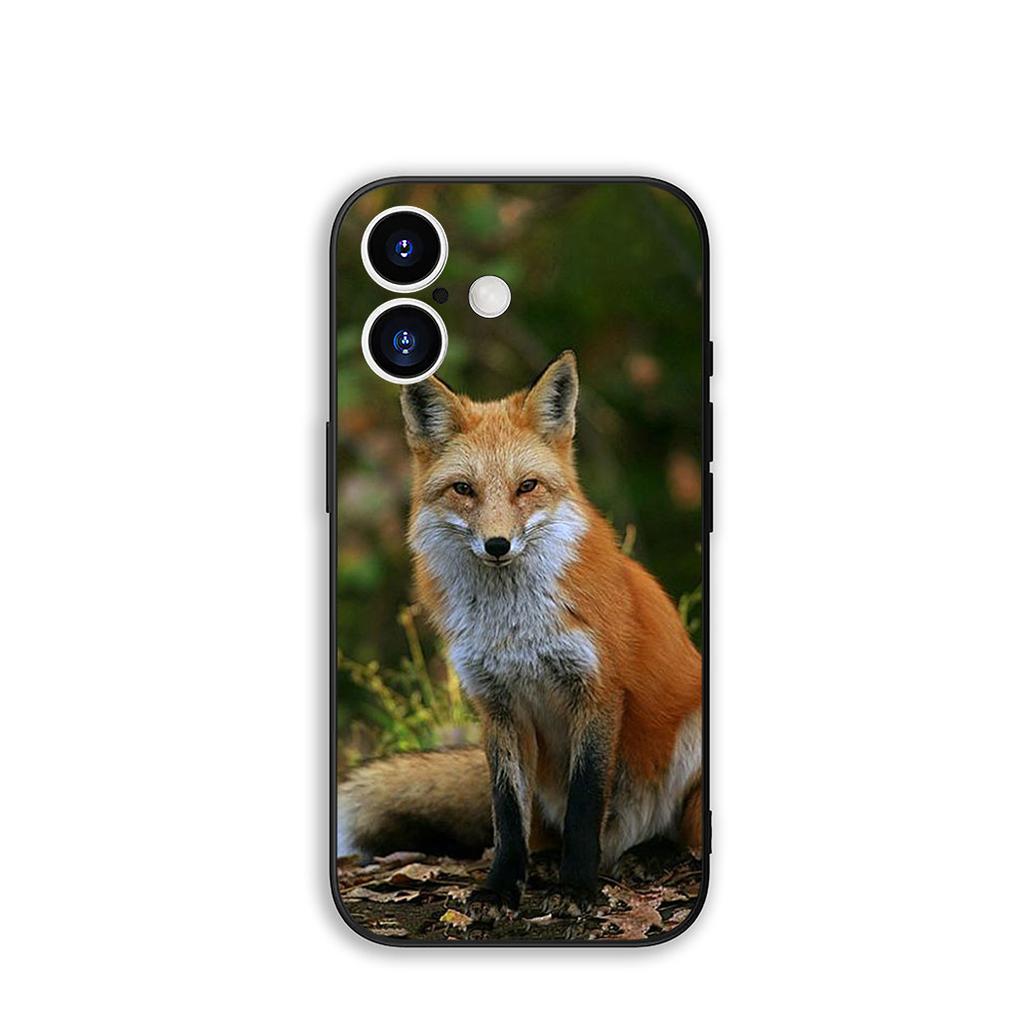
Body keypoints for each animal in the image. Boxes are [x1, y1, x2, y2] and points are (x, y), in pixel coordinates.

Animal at [339, 351, 703, 908]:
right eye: (464, 489)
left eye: (527, 486)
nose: (497, 544)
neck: (514, 630)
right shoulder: (497, 705)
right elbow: (507, 813)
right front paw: (502, 886)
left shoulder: (597, 691)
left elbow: (584, 805)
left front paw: (578, 885)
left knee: (675, 833)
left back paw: (648, 855)